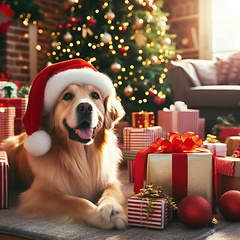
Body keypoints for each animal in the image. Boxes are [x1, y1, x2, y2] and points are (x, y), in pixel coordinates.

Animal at [2, 59, 127, 230]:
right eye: (67, 96)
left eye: (95, 95)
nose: (85, 107)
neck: (82, 155)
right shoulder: (38, 194)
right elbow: (76, 201)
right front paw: (99, 216)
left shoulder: (111, 181)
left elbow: (110, 193)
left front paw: (111, 208)